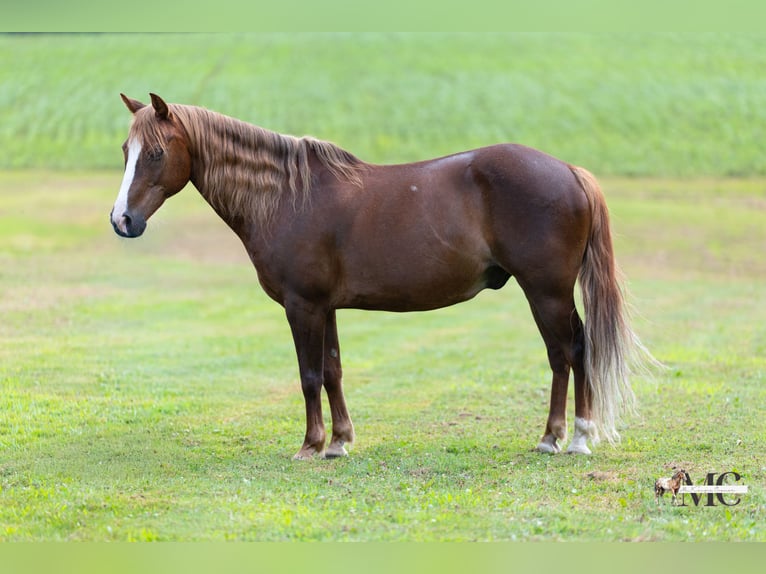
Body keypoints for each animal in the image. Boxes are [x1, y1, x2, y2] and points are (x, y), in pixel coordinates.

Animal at [110, 93, 652, 460]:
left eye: (155, 153)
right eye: (124, 150)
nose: (122, 221)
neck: (287, 196)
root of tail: (569, 170)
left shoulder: (302, 306)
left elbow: (308, 376)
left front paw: (310, 445)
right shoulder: (324, 307)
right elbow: (332, 371)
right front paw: (338, 443)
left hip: (547, 291)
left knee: (571, 351)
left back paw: (571, 437)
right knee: (565, 354)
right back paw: (558, 436)